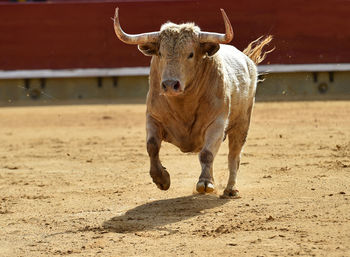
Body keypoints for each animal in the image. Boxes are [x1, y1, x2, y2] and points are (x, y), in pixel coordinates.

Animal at [113, 7, 272, 196]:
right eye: (161, 53)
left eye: (190, 54)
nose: (170, 85)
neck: (183, 104)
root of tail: (248, 61)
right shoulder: (153, 117)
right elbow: (152, 146)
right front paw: (161, 179)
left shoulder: (217, 123)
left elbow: (207, 154)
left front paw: (205, 183)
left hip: (242, 123)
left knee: (234, 155)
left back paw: (230, 189)